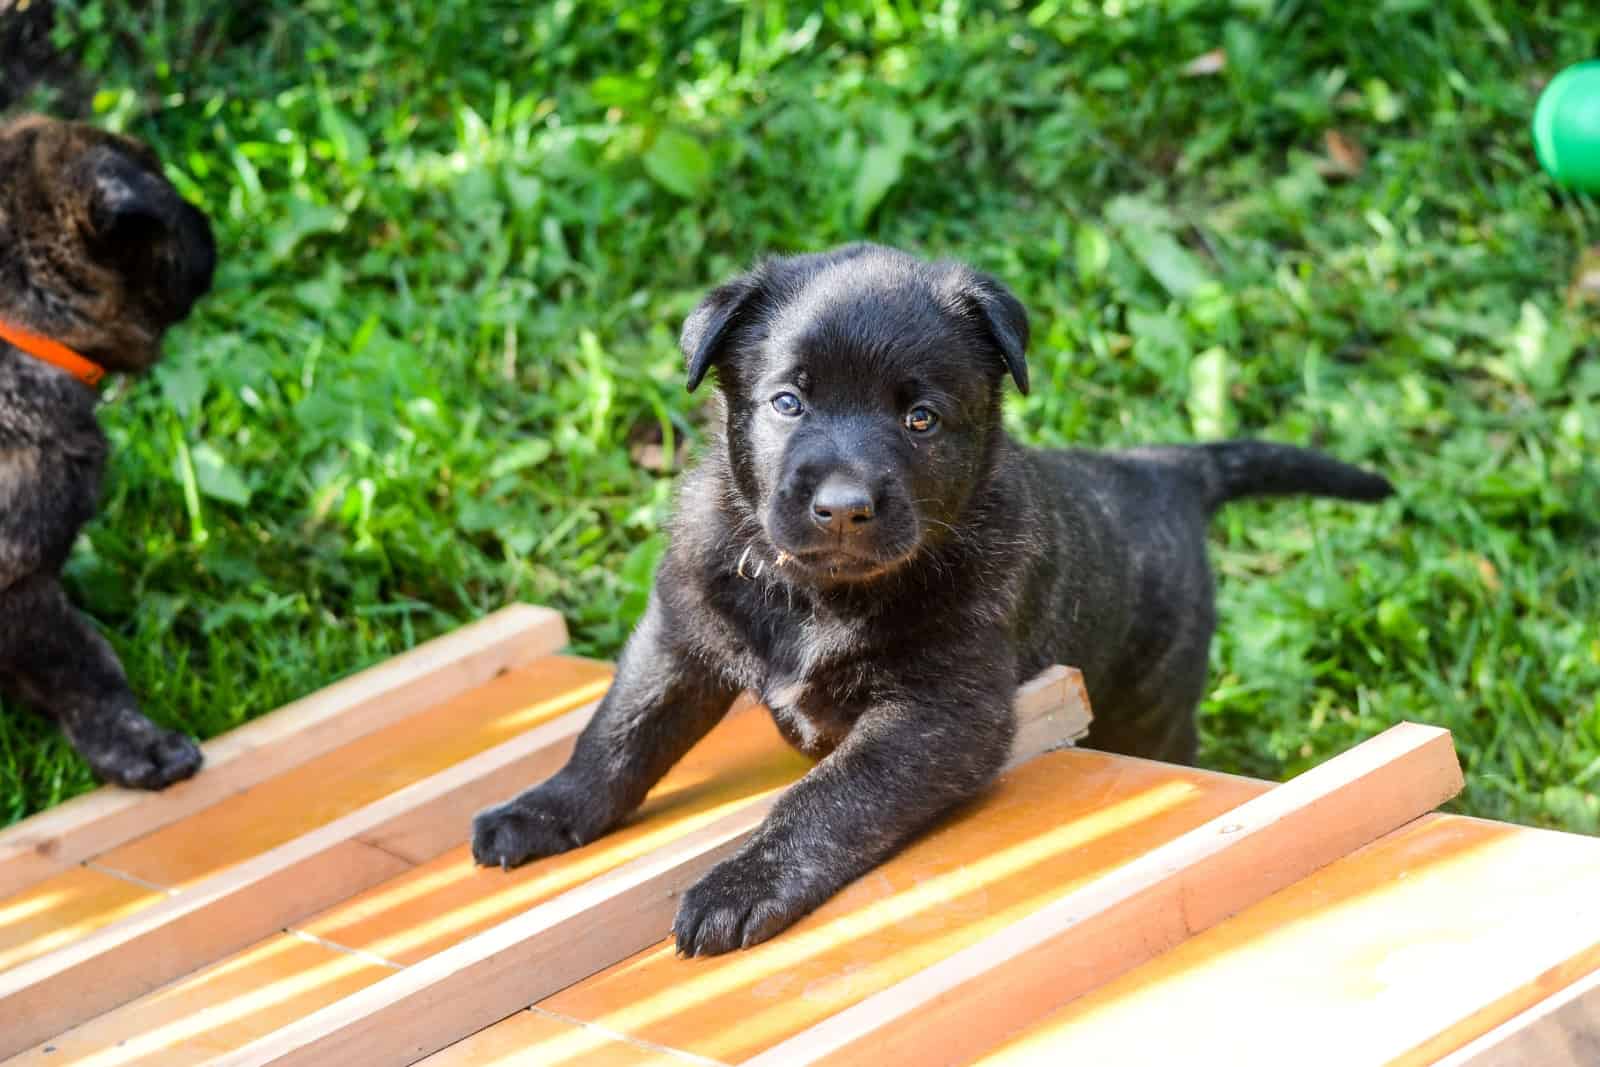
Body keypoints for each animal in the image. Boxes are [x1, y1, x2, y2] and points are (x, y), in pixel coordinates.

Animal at [470, 244, 1388, 959]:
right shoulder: (682, 632)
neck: (819, 594)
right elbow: (619, 733)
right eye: (787, 401)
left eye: (921, 418)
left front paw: (743, 882)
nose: (843, 505)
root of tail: (1162, 467)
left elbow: (826, 796)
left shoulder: (938, 711)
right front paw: (541, 810)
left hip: (1152, 700)